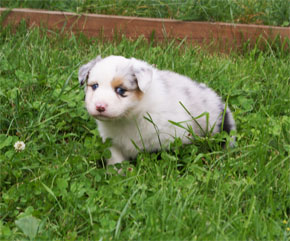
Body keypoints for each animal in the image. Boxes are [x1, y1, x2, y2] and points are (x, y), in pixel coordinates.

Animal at [78, 56, 236, 166]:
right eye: (94, 86)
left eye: (121, 90)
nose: (100, 107)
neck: (128, 117)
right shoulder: (113, 142)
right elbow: (116, 161)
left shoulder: (169, 138)